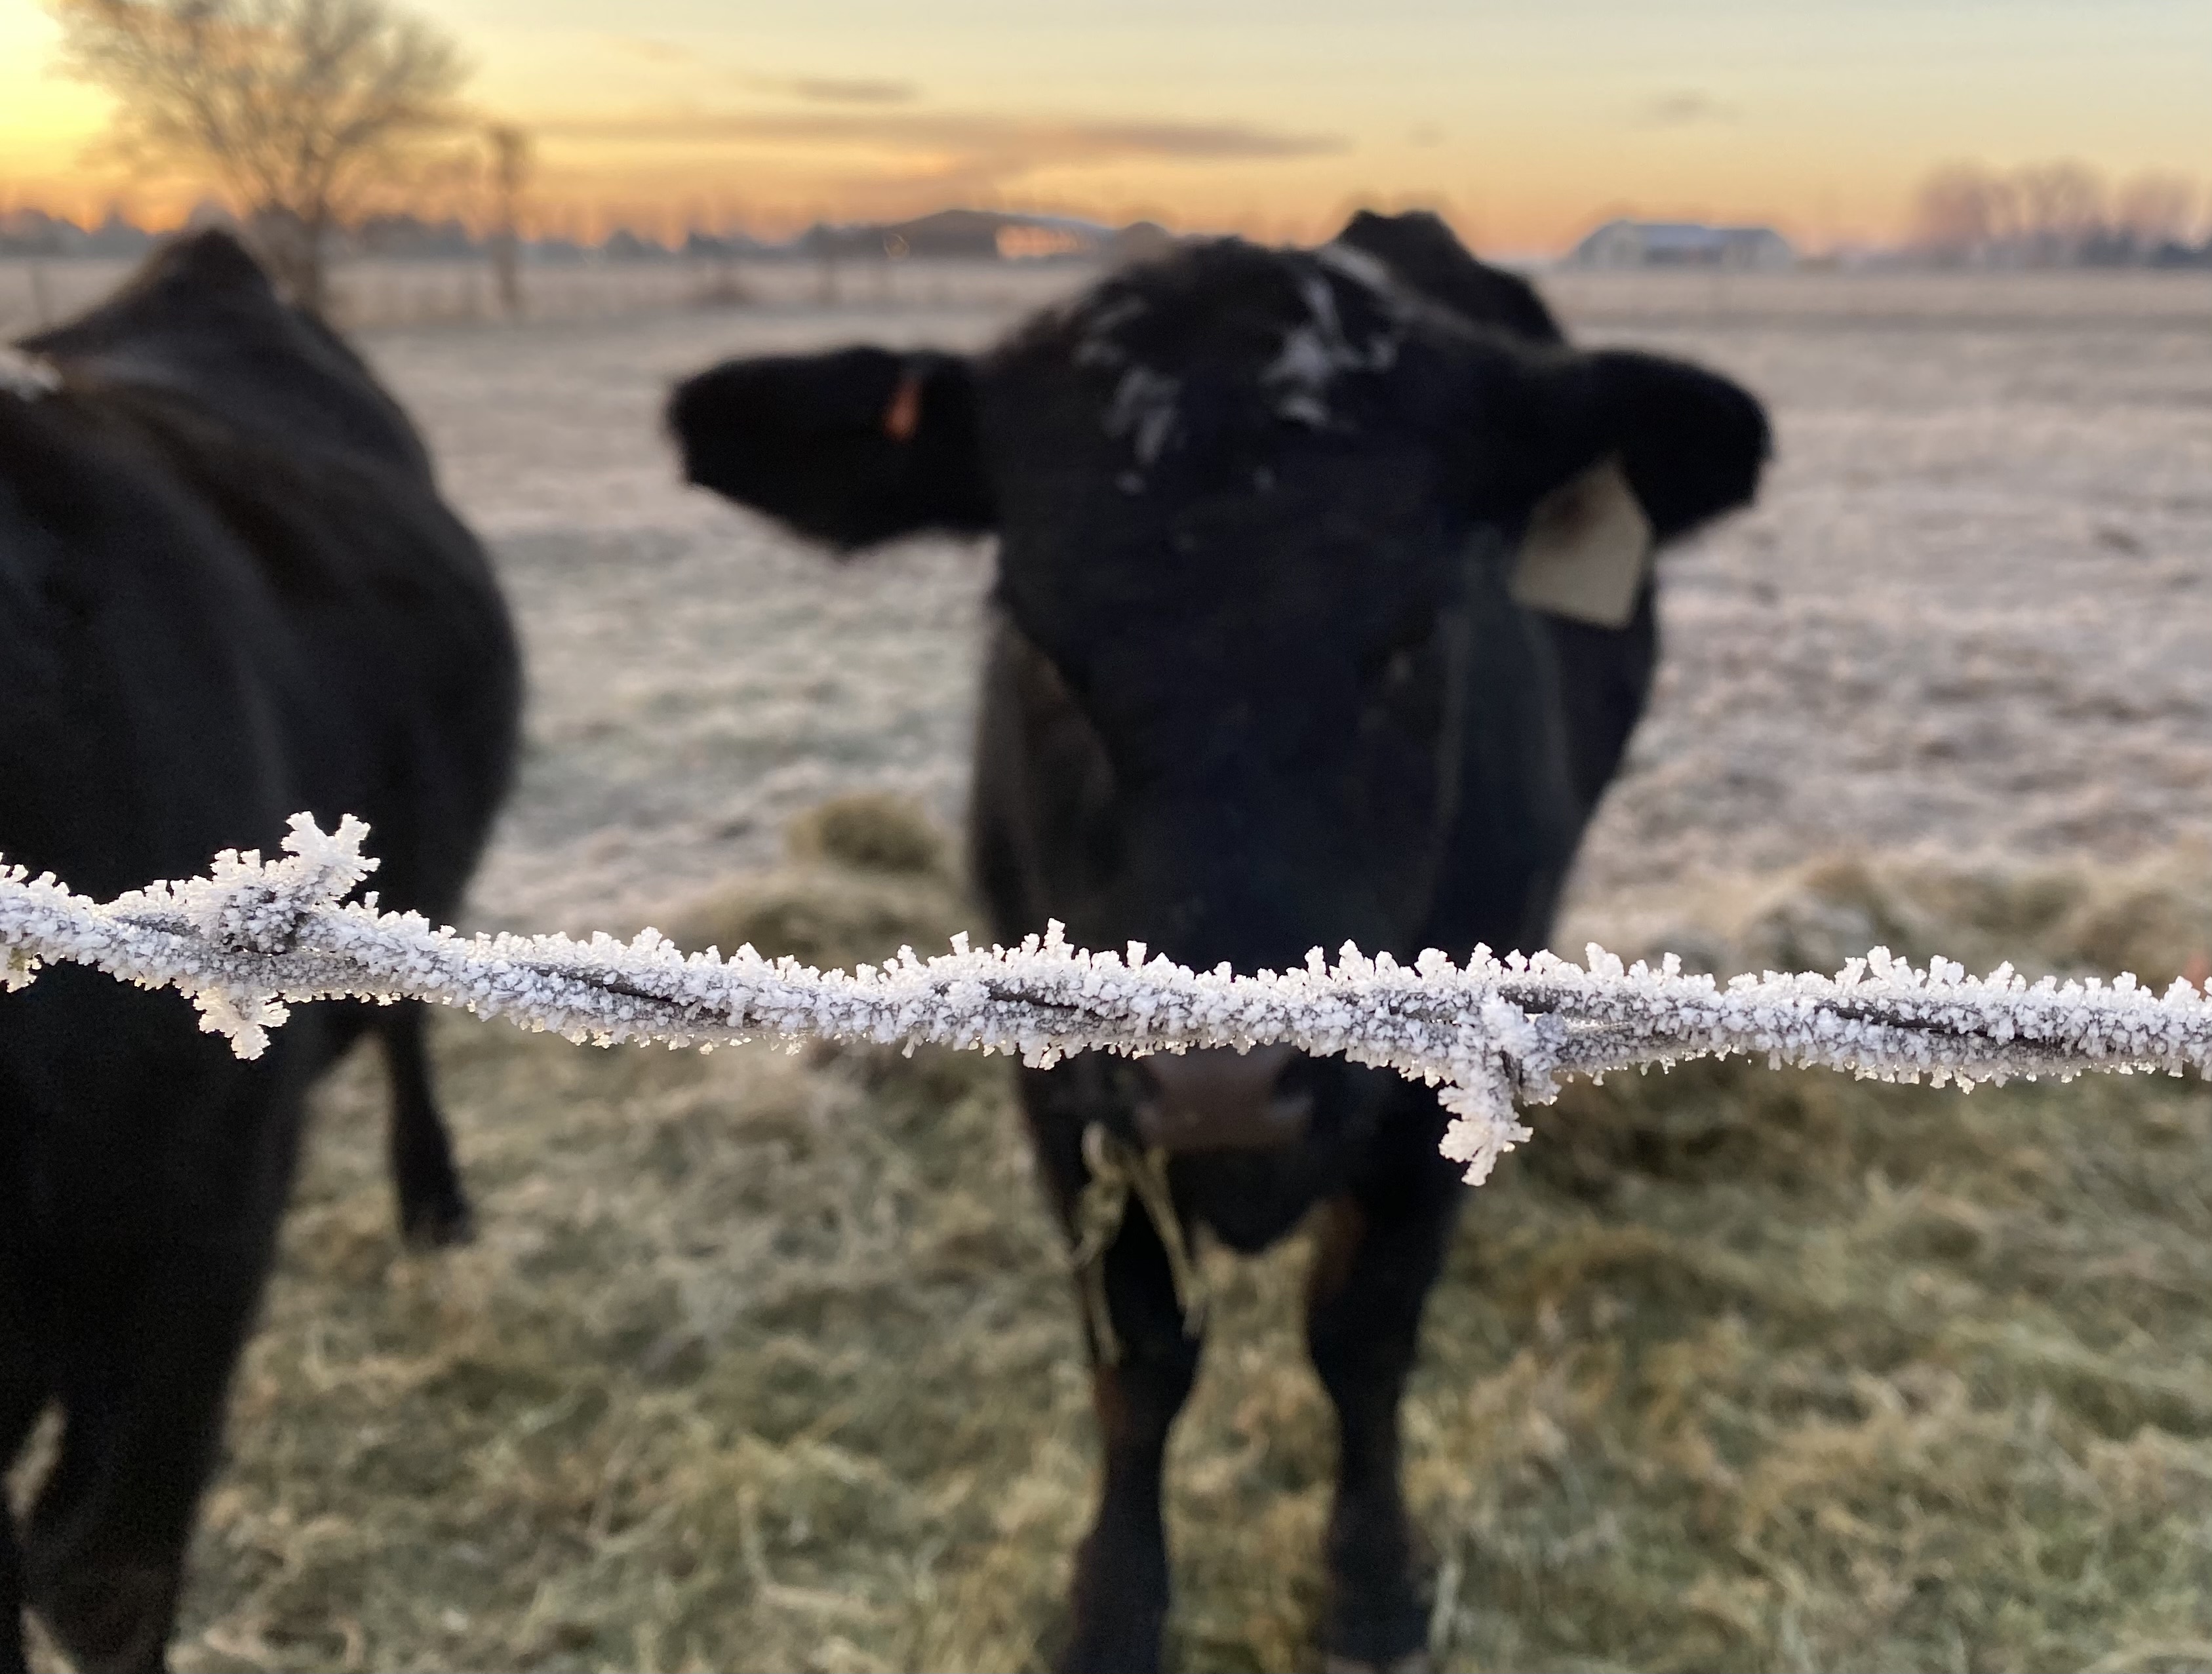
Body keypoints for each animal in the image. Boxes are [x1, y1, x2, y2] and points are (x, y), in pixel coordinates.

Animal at [663, 212, 1769, 1671]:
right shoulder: (1060, 1085)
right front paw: (1112, 1604)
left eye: (1414, 633)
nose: (1221, 1075)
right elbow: (1138, 1358)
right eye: (1037, 641)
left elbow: (1359, 1334)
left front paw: (1370, 1582)